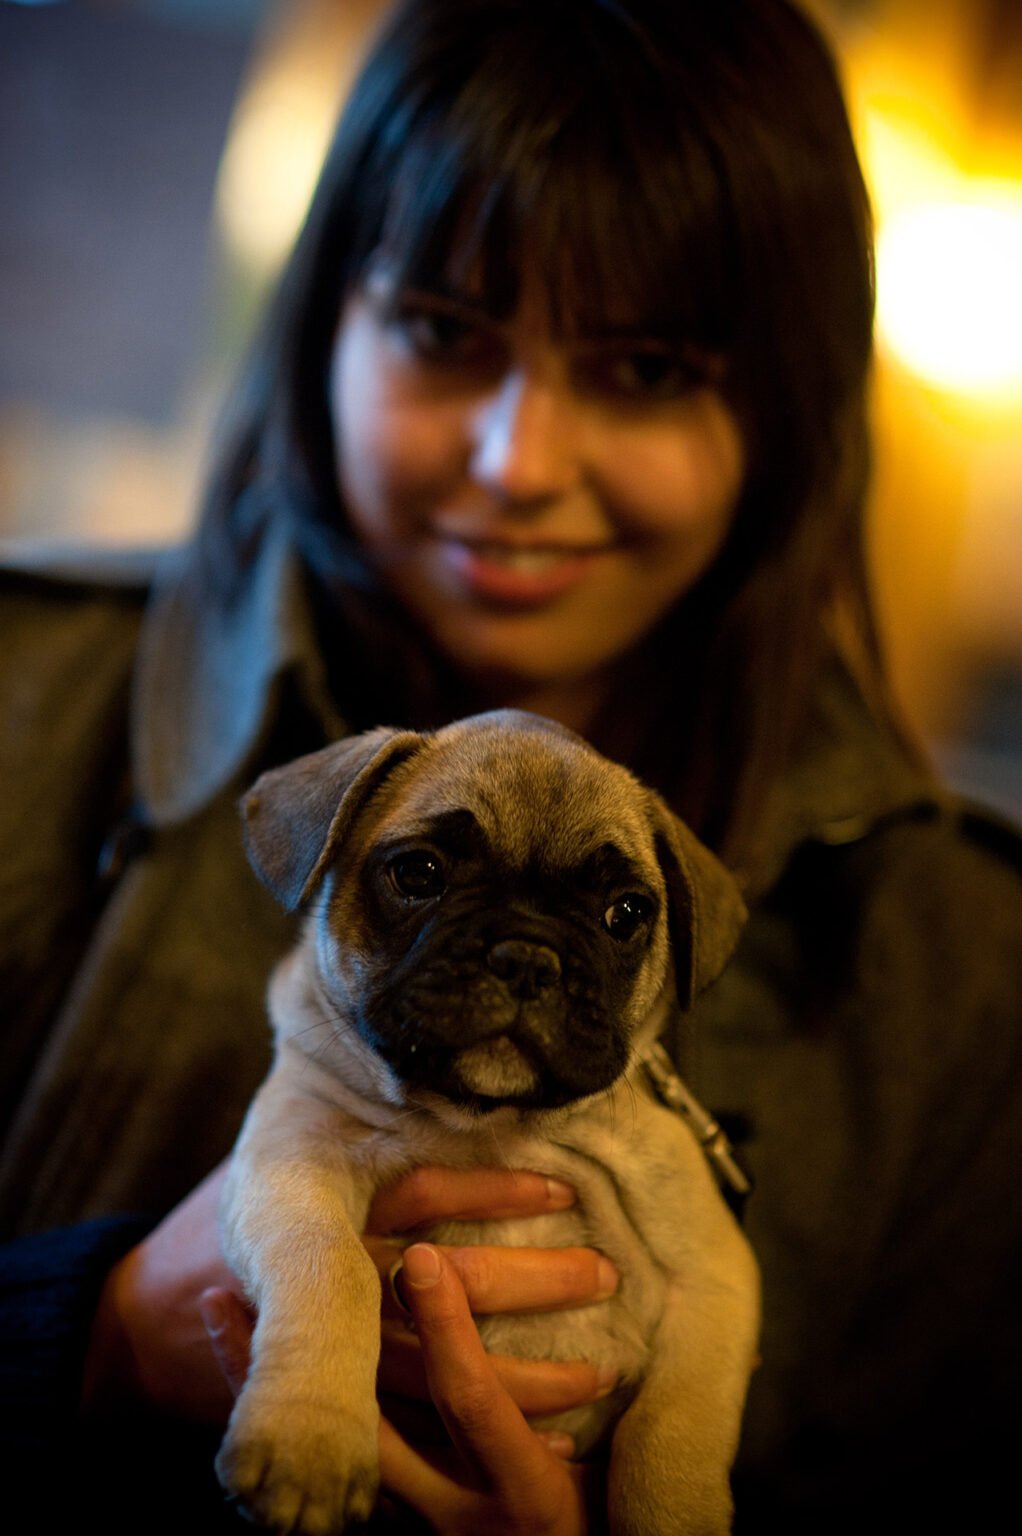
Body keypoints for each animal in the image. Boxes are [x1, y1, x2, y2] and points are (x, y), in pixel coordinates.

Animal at [215, 712, 756, 1529]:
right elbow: (333, 1268)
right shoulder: (290, 1169)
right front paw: (310, 1436)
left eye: (626, 914)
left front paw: (670, 1513)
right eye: (419, 875)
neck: (485, 1127)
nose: (528, 955)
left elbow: (667, 1435)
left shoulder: (714, 1283)